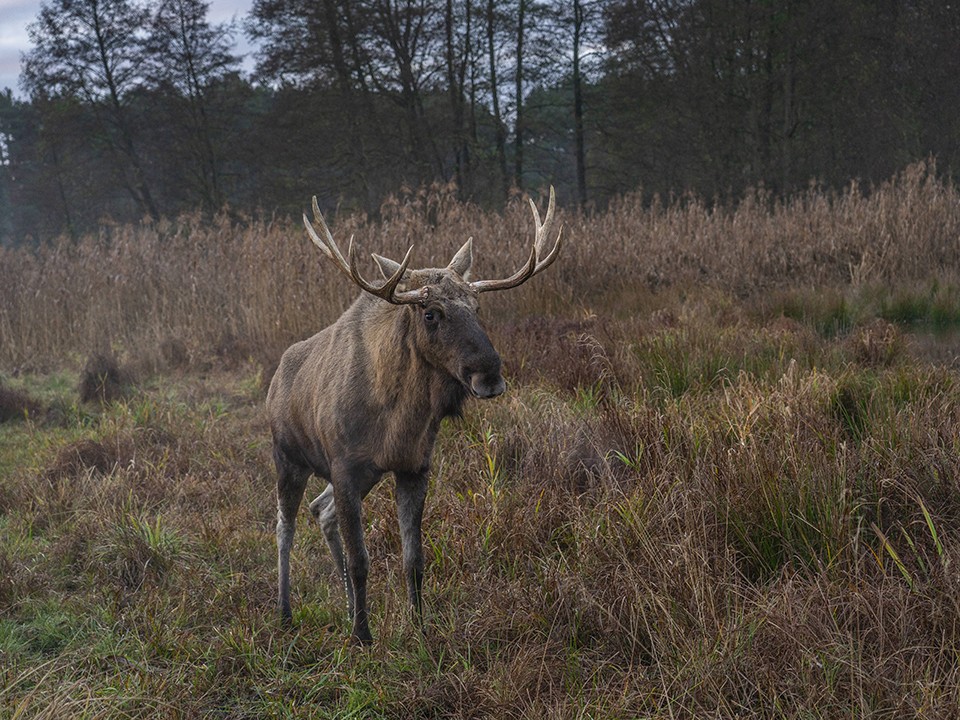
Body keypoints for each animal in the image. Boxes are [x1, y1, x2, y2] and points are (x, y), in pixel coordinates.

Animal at [264, 188, 564, 644]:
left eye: (477, 307)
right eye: (430, 313)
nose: (490, 374)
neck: (395, 424)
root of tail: (274, 380)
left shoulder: (413, 467)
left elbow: (414, 559)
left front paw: (419, 625)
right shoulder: (345, 467)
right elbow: (361, 560)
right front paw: (363, 636)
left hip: (354, 476)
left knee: (322, 510)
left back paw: (346, 606)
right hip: (288, 458)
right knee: (285, 527)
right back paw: (284, 612)